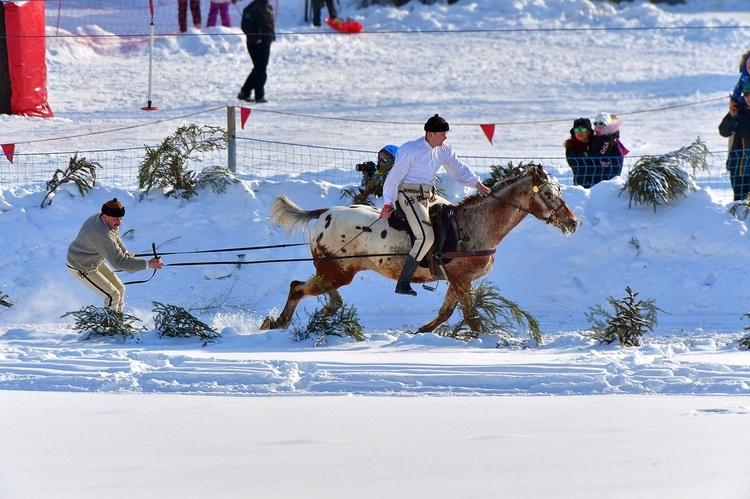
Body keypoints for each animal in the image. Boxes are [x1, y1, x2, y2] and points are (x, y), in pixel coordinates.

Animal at [260, 166, 580, 334]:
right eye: (549, 194)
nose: (573, 222)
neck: (476, 226)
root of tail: (325, 214)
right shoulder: (462, 281)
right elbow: (470, 317)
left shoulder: (457, 281)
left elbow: (445, 313)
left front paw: (419, 333)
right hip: (335, 272)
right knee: (298, 287)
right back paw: (277, 323)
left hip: (333, 272)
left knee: (320, 293)